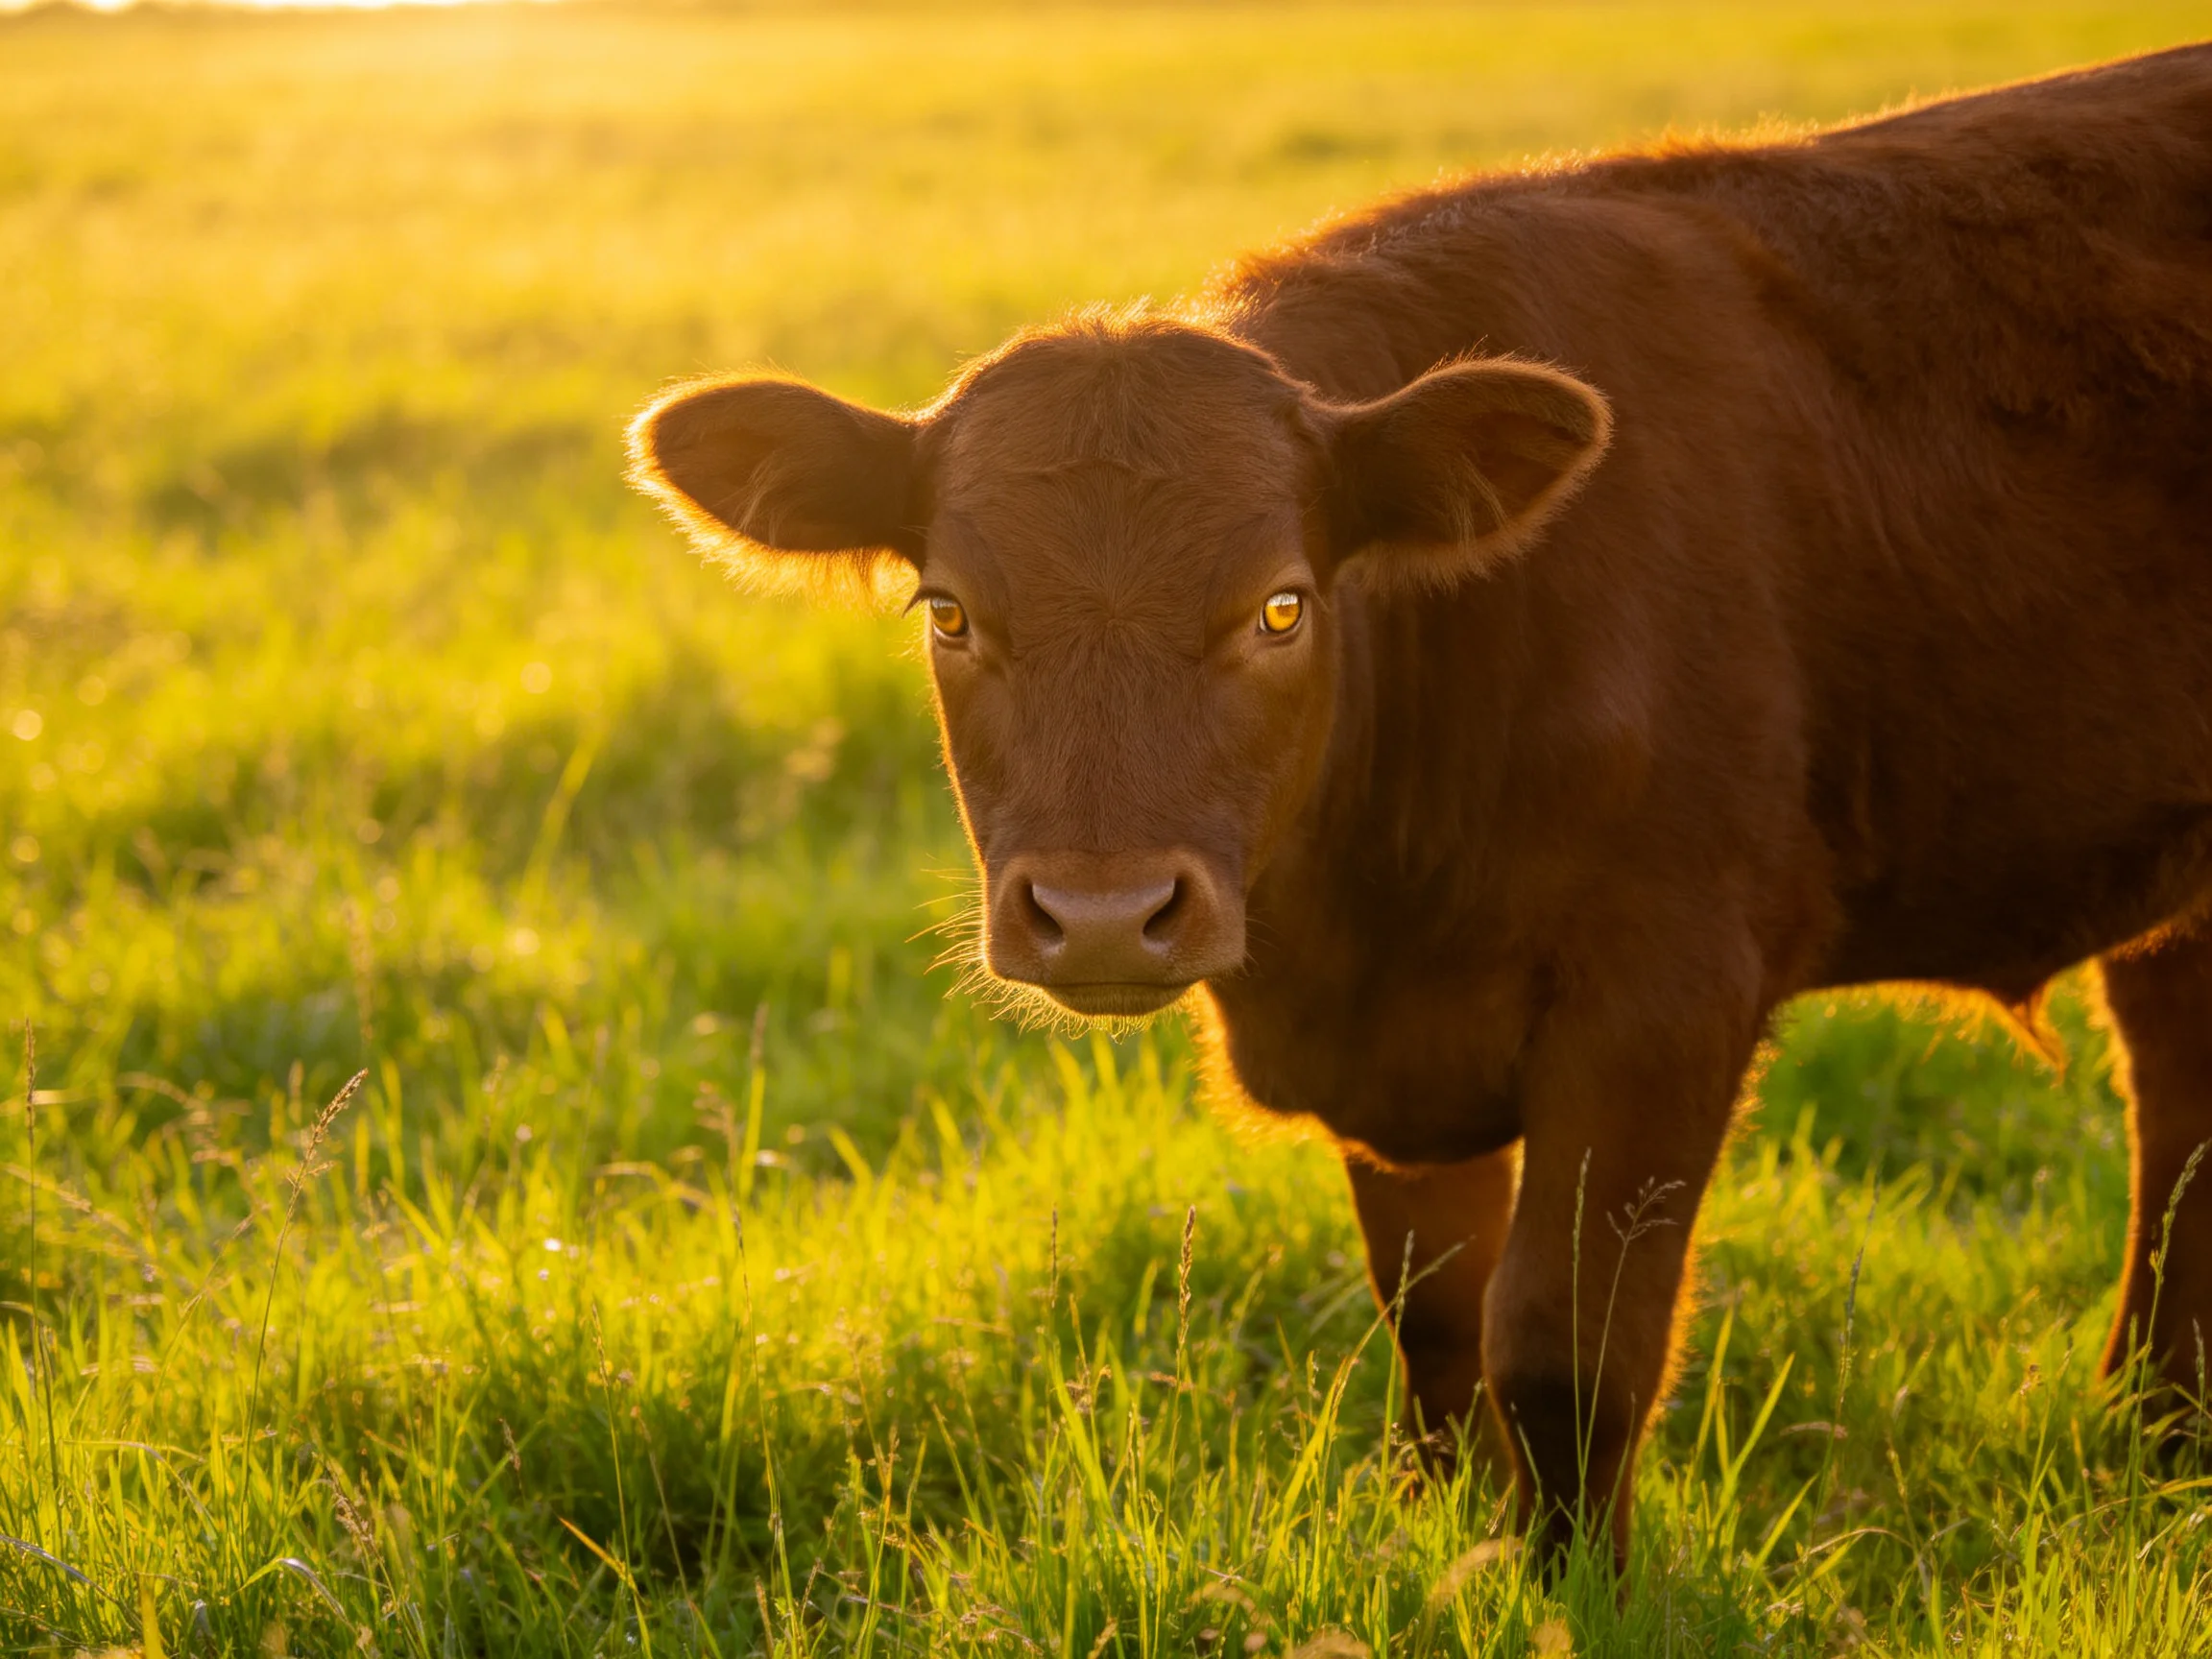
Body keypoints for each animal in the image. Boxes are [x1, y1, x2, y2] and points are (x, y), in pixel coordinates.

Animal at [629, 43, 2212, 1572]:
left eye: (1282, 606)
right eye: (950, 612)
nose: (1103, 916)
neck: (1362, 926)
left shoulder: (1666, 995)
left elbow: (1564, 1352)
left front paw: (1579, 1591)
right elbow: (1435, 1319)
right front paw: (1447, 1533)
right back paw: (2157, 1435)